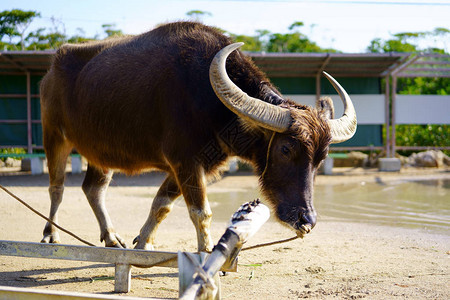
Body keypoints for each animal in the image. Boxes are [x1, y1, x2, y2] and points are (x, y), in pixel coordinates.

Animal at [40, 21, 356, 251]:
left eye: (321, 158)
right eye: (286, 149)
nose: (307, 219)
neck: (211, 100)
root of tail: (51, 69)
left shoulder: (194, 164)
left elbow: (162, 204)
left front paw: (144, 242)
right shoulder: (185, 161)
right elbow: (201, 212)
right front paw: (205, 254)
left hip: (99, 152)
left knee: (94, 189)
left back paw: (110, 237)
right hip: (54, 136)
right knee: (57, 187)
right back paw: (51, 234)